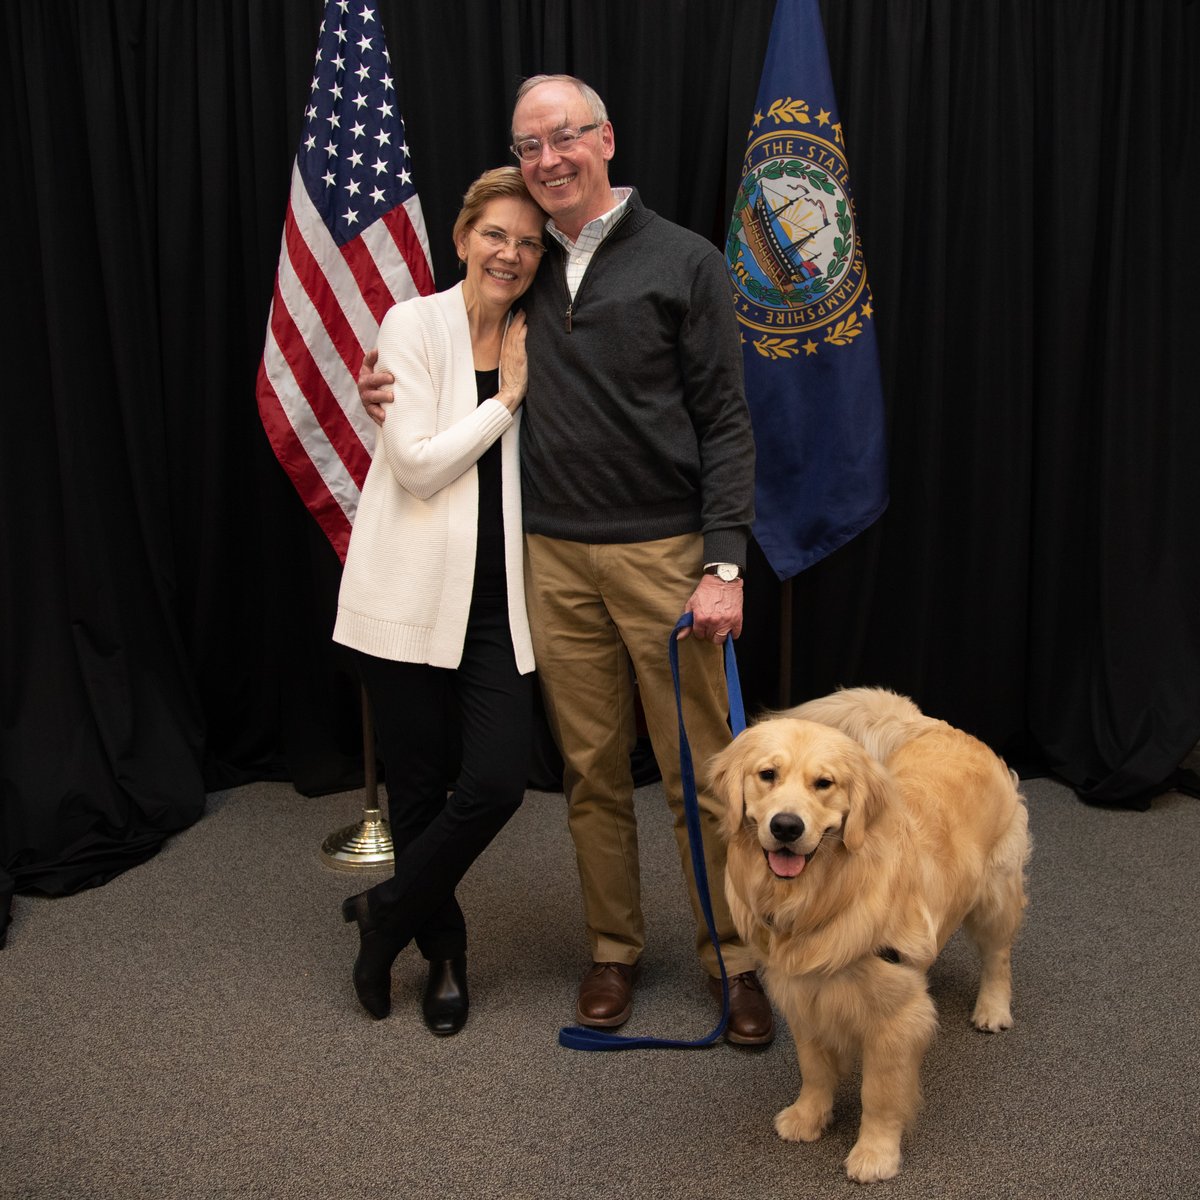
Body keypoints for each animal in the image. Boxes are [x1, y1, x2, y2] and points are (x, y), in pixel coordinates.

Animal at [710, 686, 1032, 1180]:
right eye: (767, 775)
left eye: (824, 783)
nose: (786, 826)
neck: (820, 895)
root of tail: (942, 727)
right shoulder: (804, 996)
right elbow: (814, 1069)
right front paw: (809, 1117)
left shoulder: (895, 1019)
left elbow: (879, 1093)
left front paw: (876, 1153)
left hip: (995, 890)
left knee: (998, 955)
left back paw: (992, 1008)